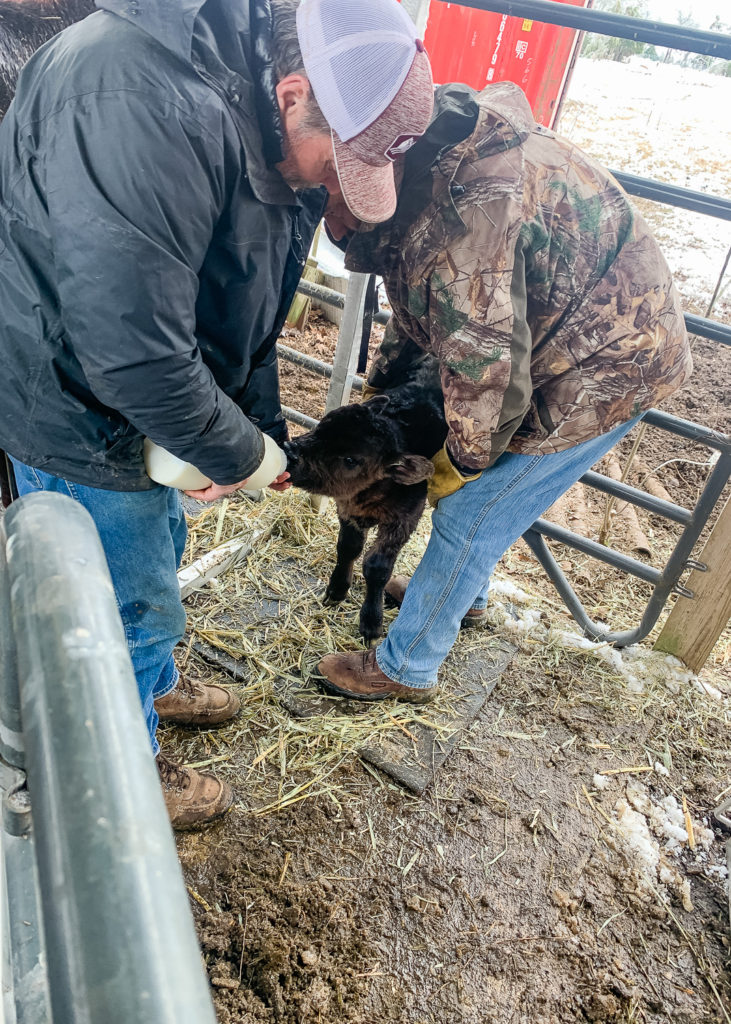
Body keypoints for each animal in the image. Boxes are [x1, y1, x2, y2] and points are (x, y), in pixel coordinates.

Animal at [282, 364, 444, 643]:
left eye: (351, 460)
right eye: (322, 425)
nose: (290, 453)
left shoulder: (404, 520)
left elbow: (377, 568)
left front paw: (371, 623)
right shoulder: (347, 509)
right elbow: (348, 548)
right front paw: (336, 591)